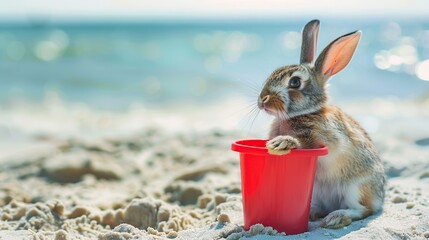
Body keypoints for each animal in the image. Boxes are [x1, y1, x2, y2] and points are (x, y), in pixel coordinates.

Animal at [256, 19, 386, 228]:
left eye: (295, 82)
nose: (262, 100)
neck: (305, 113)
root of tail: (380, 198)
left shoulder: (331, 139)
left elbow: (309, 143)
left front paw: (282, 142)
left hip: (356, 187)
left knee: (364, 209)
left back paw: (336, 217)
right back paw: (314, 212)